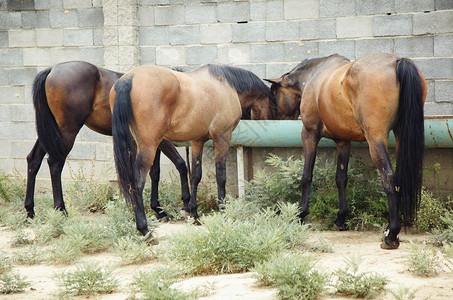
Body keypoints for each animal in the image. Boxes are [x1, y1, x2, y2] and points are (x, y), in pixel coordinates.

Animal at [26, 61, 189, 220]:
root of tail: (51, 69)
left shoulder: (154, 143)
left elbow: (155, 172)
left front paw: (158, 210)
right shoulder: (160, 141)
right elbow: (180, 164)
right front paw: (184, 205)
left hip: (50, 132)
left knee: (34, 160)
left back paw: (30, 212)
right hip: (66, 131)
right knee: (55, 164)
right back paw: (61, 210)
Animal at [111, 64, 278, 238]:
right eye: (274, 105)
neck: (227, 85)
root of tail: (129, 79)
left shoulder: (198, 141)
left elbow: (196, 176)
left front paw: (194, 214)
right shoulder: (222, 138)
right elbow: (221, 176)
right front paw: (222, 211)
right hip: (149, 146)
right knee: (137, 182)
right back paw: (144, 229)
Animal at [264, 53, 426, 248]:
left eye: (274, 96)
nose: (275, 120)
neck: (313, 76)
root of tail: (397, 61)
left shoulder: (309, 134)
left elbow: (307, 176)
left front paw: (301, 213)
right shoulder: (343, 142)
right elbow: (341, 178)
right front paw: (341, 218)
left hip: (376, 139)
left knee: (389, 177)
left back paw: (392, 234)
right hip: (400, 134)